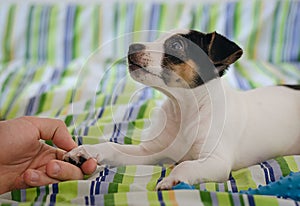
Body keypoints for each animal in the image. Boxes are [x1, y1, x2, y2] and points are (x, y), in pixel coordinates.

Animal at [63, 29, 300, 190]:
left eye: (176, 45)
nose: (131, 47)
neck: (184, 111)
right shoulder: (149, 152)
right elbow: (113, 147)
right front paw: (86, 151)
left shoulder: (216, 161)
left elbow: (185, 166)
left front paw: (171, 179)